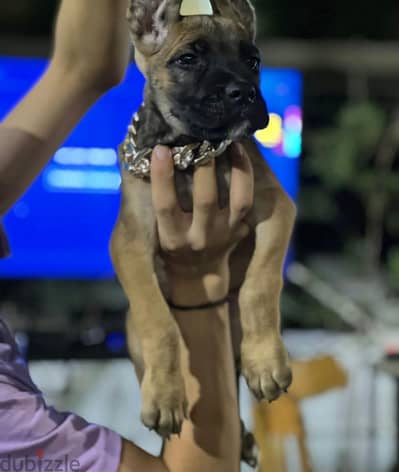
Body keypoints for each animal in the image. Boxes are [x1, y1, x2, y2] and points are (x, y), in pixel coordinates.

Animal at [111, 0, 296, 442]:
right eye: (188, 59)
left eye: (252, 61)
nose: (243, 92)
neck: (190, 152)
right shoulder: (130, 244)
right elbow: (158, 321)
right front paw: (164, 394)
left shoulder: (276, 209)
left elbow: (259, 287)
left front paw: (265, 361)